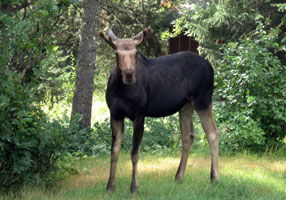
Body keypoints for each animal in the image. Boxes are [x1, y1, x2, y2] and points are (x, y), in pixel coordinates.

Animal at [99, 27, 220, 193]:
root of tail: (211, 67)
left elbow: (134, 153)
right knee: (188, 136)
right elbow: (114, 151)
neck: (120, 89)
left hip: (203, 100)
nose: (129, 75)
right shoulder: (115, 114)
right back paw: (178, 177)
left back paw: (214, 178)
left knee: (213, 133)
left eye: (136, 53)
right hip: (186, 105)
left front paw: (134, 187)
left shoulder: (139, 114)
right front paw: (110, 186)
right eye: (116, 53)